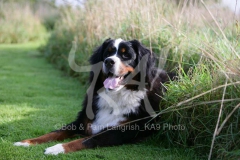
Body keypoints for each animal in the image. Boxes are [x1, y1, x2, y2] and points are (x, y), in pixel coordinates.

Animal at [13, 37, 171, 155]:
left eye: (126, 55)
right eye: (107, 53)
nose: (109, 61)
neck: (115, 96)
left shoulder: (122, 131)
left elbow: (86, 140)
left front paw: (57, 148)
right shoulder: (82, 121)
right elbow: (55, 132)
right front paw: (26, 142)